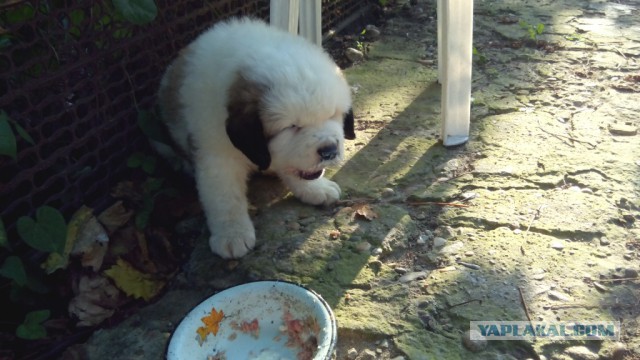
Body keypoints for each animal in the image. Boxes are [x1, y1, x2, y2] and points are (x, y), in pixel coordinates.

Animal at [156, 18, 356, 258]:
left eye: (332, 115)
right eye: (292, 127)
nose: (329, 151)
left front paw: (316, 189)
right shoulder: (216, 154)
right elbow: (224, 197)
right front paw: (232, 234)